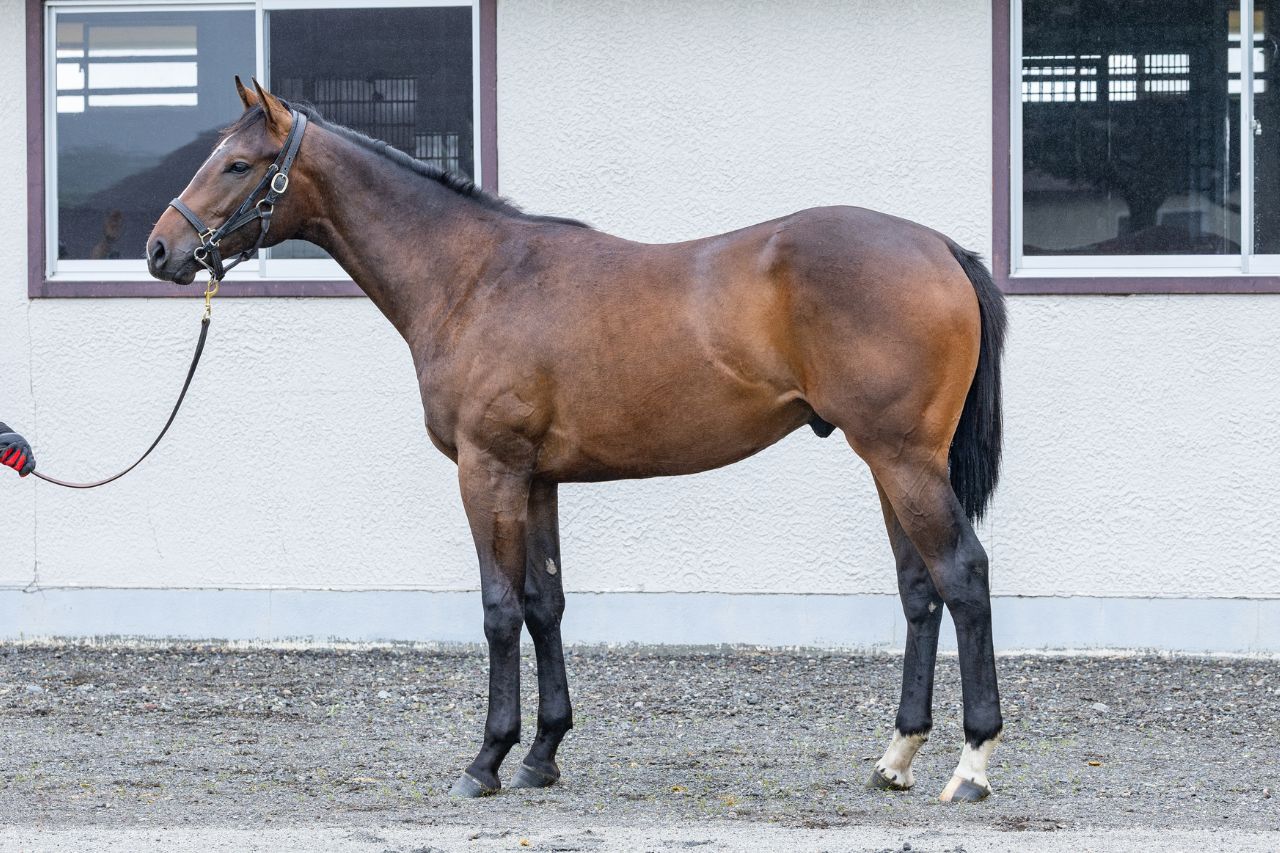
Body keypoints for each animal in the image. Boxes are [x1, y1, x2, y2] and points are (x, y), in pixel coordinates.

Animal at [146, 78, 1008, 804]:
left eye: (238, 163)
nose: (161, 251)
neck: (474, 277)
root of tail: (939, 247)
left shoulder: (487, 470)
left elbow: (499, 608)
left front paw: (486, 760)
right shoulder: (536, 478)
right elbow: (545, 603)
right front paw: (542, 754)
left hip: (902, 459)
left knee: (962, 575)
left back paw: (971, 765)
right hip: (889, 461)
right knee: (920, 589)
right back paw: (895, 756)